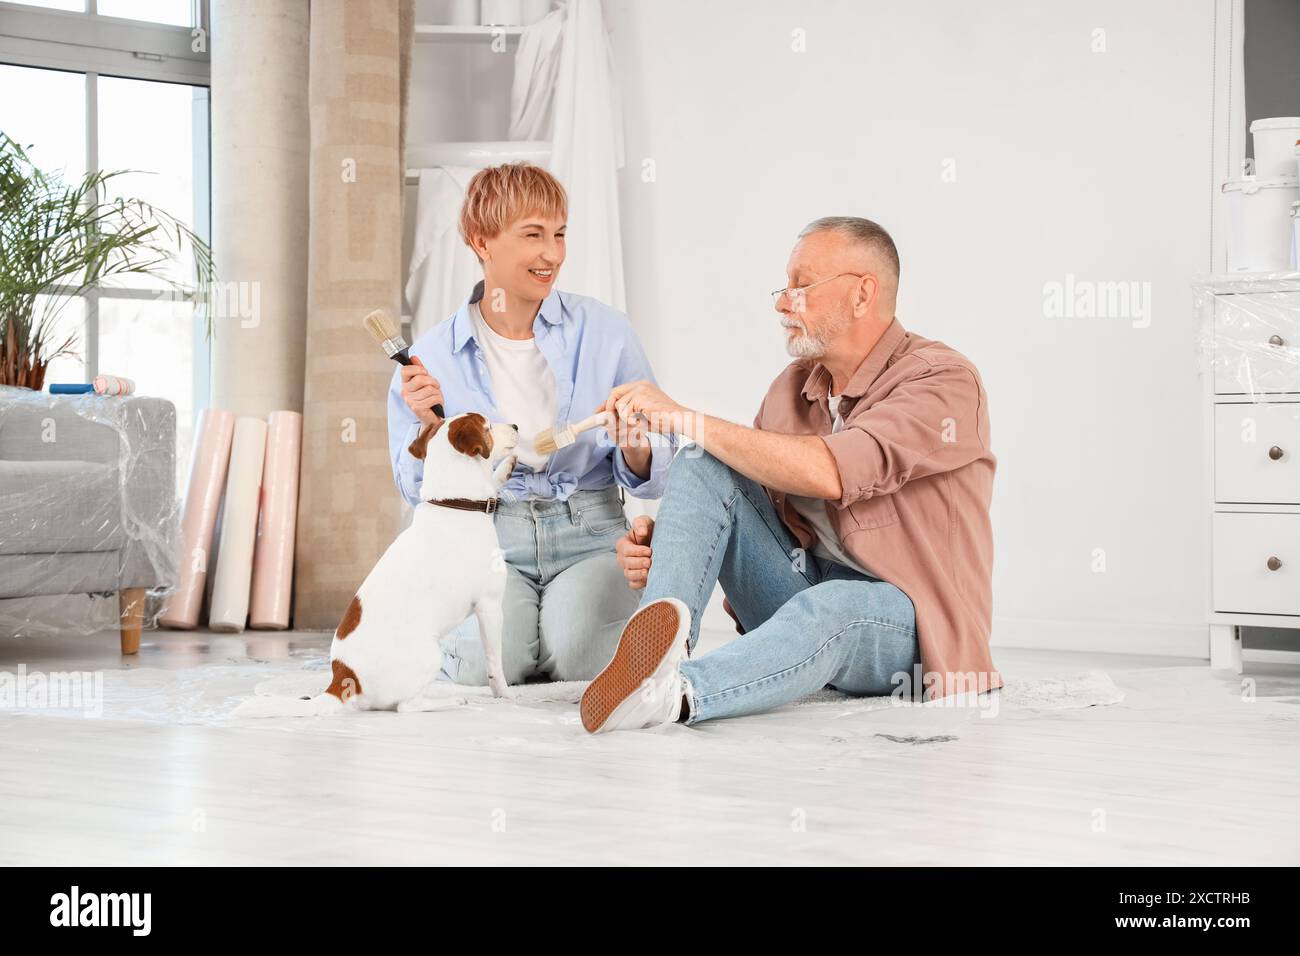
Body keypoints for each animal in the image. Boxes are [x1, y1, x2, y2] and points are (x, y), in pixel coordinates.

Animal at [233, 411, 517, 717]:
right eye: (488, 426)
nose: (516, 425)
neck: (454, 503)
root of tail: (345, 680)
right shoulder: (489, 606)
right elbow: (495, 662)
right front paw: (505, 694)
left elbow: (492, 481)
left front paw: (506, 469)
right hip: (431, 654)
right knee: (407, 706)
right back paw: (451, 701)